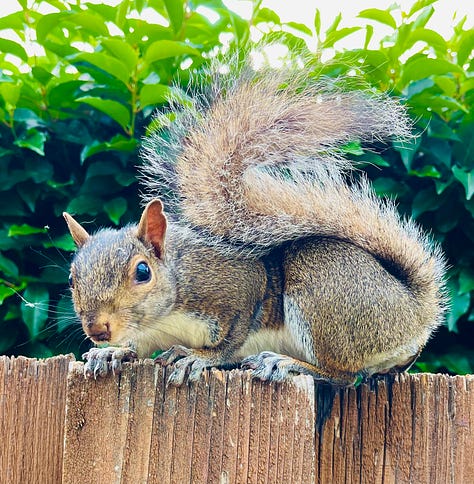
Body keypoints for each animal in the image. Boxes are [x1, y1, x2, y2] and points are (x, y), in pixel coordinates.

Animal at [64, 59, 448, 386]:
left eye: (142, 272)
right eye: (71, 278)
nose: (98, 330)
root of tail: (416, 313)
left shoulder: (240, 287)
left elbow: (232, 338)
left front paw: (200, 357)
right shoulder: (147, 334)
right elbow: (136, 347)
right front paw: (112, 353)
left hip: (324, 290)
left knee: (341, 374)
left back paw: (286, 363)